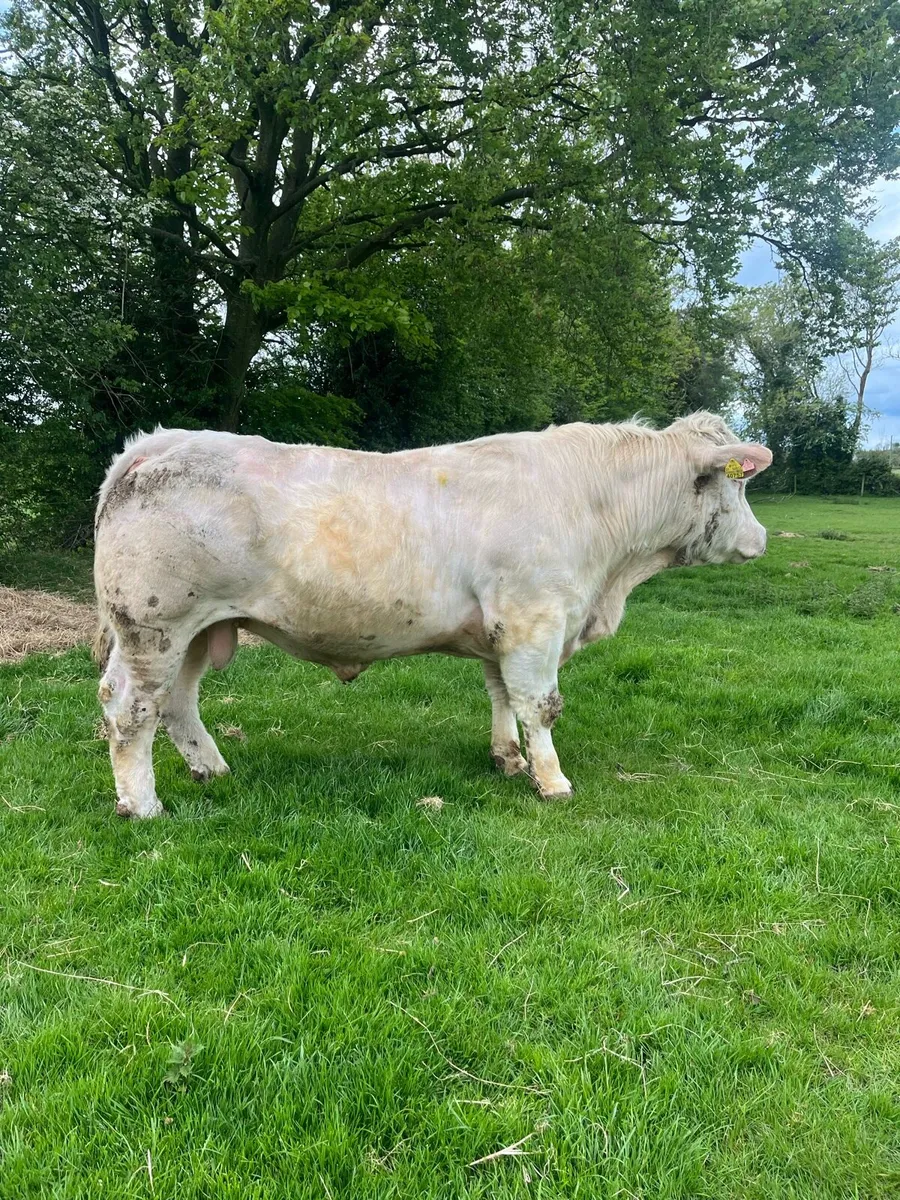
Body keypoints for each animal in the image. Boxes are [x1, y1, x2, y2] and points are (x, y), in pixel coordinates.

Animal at [93, 412, 772, 818]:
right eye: (738, 485)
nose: (761, 540)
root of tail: (162, 441)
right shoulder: (536, 620)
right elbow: (541, 705)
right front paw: (552, 781)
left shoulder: (502, 629)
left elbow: (501, 694)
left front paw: (508, 759)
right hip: (154, 627)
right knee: (131, 708)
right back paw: (142, 804)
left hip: (200, 631)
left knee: (178, 704)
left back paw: (213, 769)